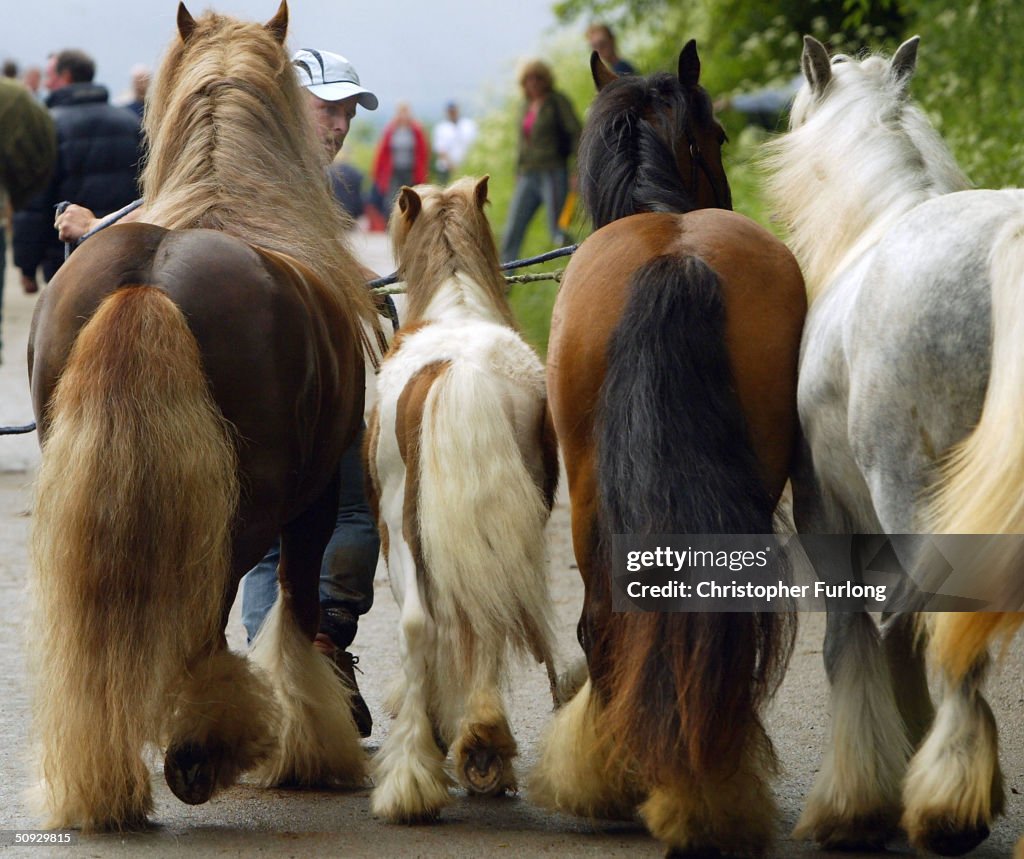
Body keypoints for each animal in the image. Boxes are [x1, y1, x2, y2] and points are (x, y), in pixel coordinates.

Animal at [29, 1, 378, 831]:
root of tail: (148, 281)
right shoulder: (315, 498)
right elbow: (294, 602)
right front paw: (312, 742)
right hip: (246, 503)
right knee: (207, 612)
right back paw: (200, 749)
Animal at [366, 178, 561, 823]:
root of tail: (462, 371)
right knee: (502, 618)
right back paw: (485, 739)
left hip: (403, 528)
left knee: (420, 625)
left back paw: (413, 777)